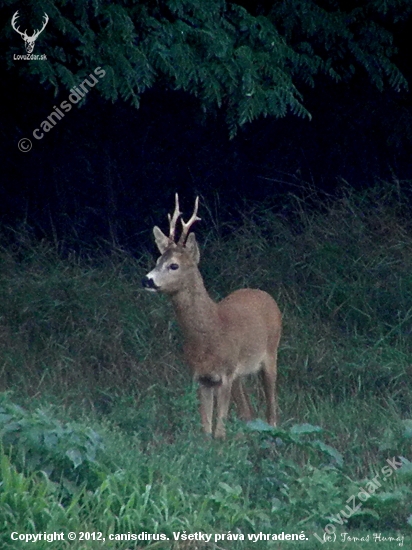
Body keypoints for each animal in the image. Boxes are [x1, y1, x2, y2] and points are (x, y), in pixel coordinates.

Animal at [143, 195, 282, 440]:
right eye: (158, 260)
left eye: (174, 265)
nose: (147, 280)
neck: (211, 332)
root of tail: (263, 293)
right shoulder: (201, 377)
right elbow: (206, 429)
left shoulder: (225, 374)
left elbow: (219, 430)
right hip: (240, 374)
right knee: (248, 412)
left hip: (271, 353)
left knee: (271, 412)